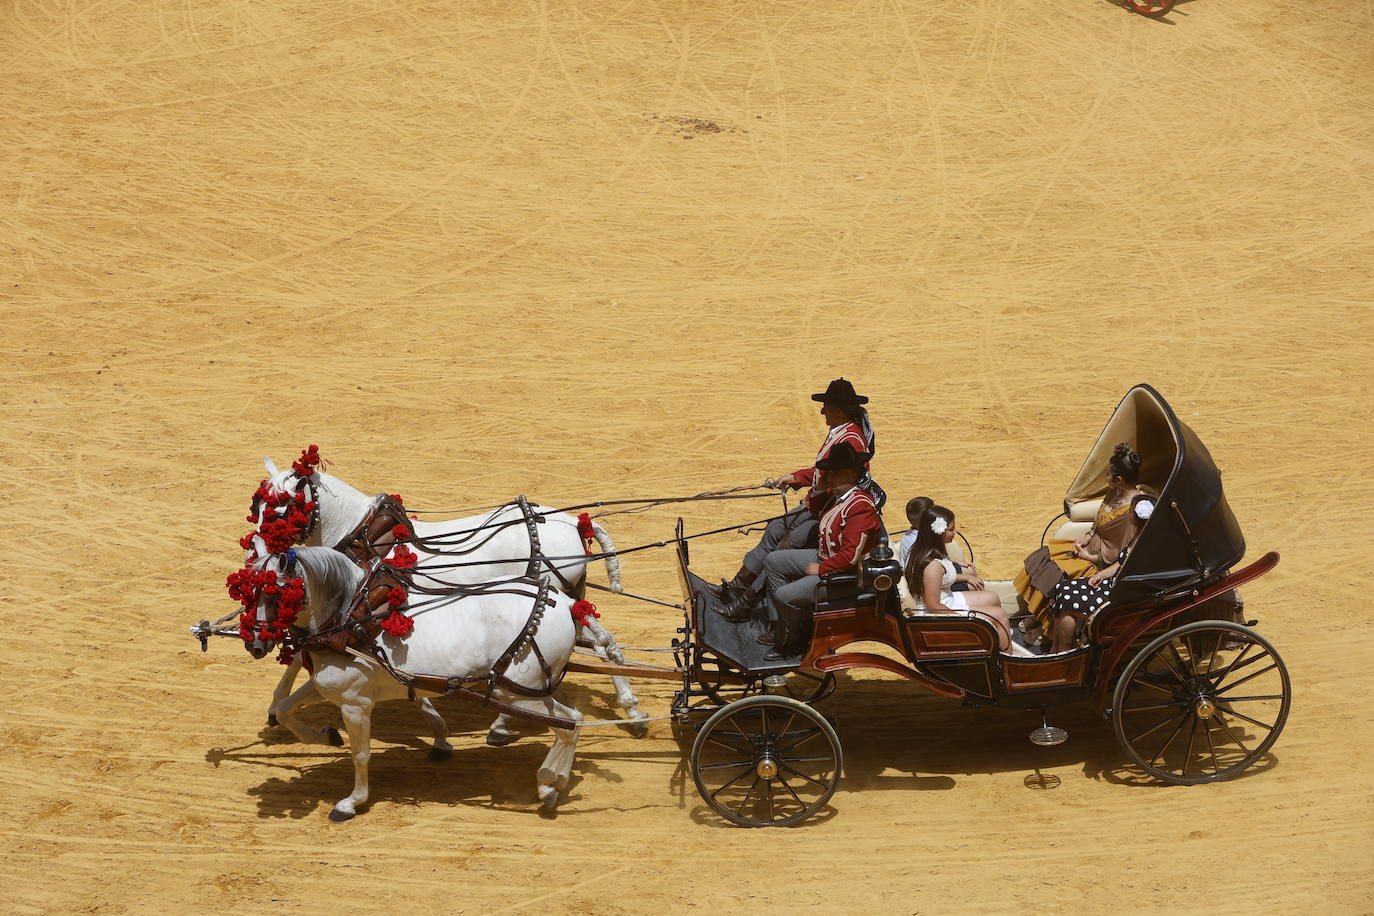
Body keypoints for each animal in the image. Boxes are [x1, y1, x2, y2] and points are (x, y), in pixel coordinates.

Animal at [248, 458, 648, 736]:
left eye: (282, 509)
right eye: (259, 508)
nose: (257, 553)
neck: (369, 538)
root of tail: (574, 524)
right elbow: (301, 650)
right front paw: (275, 705)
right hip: (571, 598)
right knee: (602, 644)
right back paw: (630, 709)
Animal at [259, 549, 582, 818]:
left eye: (277, 592)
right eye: (251, 591)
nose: (256, 643)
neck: (349, 619)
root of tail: (565, 603)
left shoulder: (355, 703)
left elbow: (360, 754)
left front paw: (351, 802)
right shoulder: (328, 688)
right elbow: (286, 709)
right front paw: (326, 735)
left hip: (515, 693)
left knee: (569, 724)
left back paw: (548, 783)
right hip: (530, 689)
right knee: (573, 719)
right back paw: (554, 783)